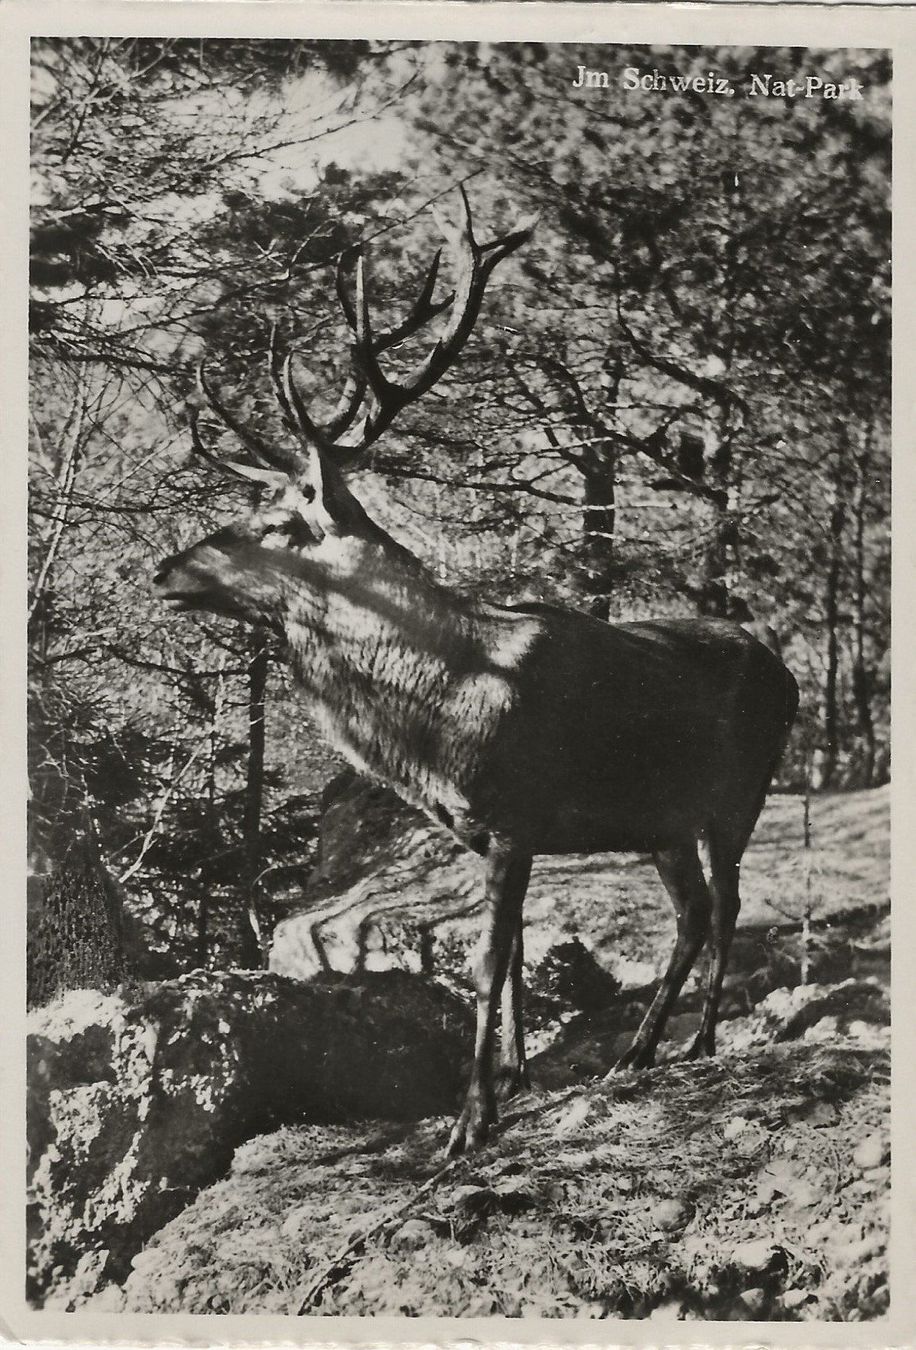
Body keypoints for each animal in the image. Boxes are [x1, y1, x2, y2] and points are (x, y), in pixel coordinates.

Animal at [154, 190, 799, 1156]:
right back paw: (636, 1051)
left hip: (738, 792)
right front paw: (517, 1078)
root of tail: (789, 676)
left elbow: (492, 959)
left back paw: (700, 1041)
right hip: (661, 815)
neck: (439, 711)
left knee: (726, 906)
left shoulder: (515, 815)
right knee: (689, 913)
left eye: (273, 523)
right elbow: (519, 952)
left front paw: (469, 1121)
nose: (164, 571)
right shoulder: (488, 831)